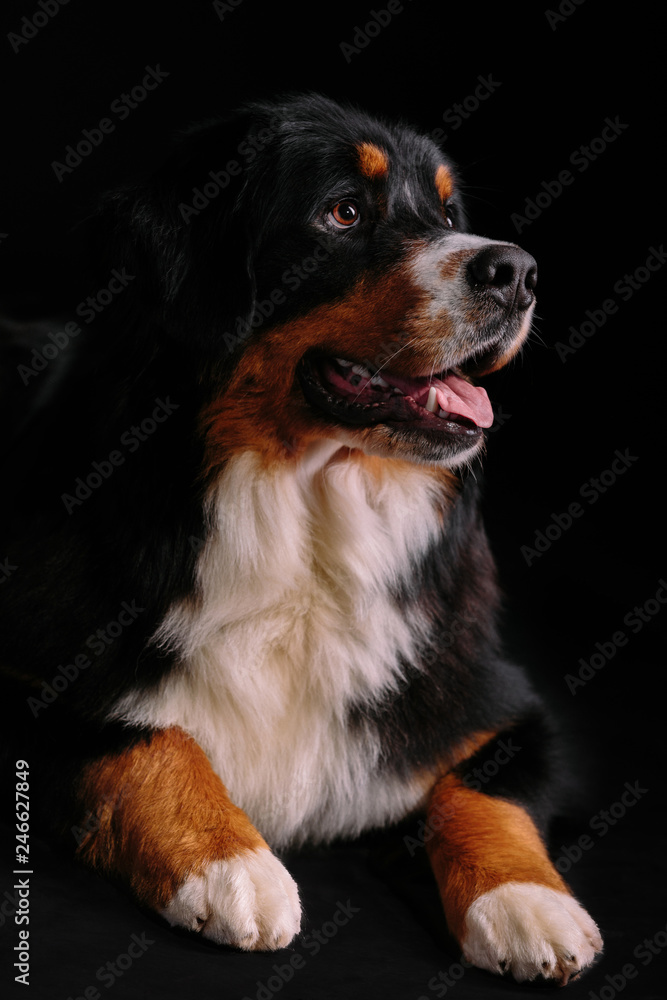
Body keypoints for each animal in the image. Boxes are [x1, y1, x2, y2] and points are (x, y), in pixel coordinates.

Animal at [0, 94, 604, 984]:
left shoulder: (504, 700)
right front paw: (232, 864)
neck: (307, 518)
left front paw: (529, 901)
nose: (519, 272)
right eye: (342, 212)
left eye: (448, 214)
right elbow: (139, 731)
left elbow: (486, 788)